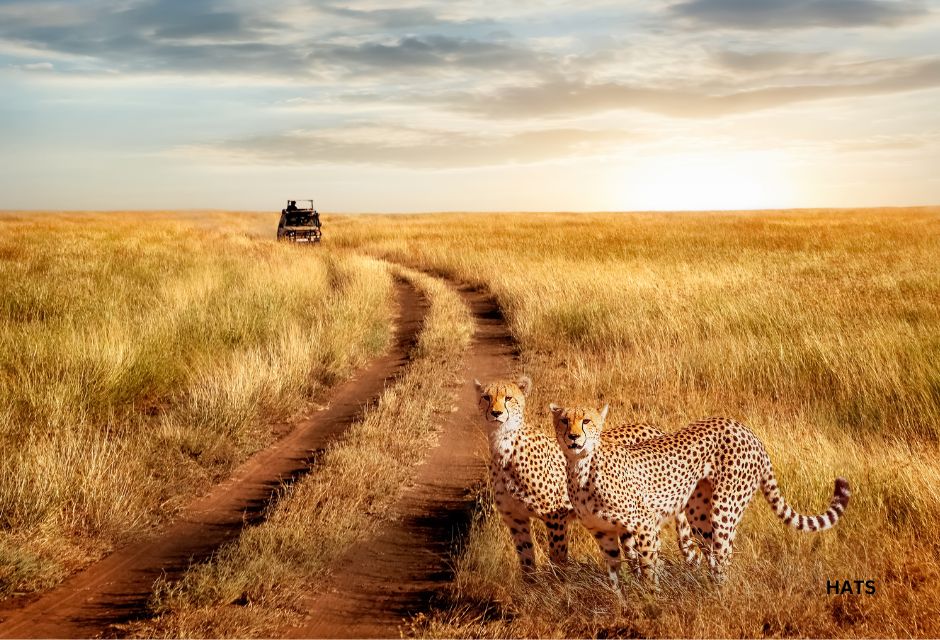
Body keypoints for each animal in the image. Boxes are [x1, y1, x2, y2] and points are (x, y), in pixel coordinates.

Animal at [474, 376, 708, 568]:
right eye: (486, 397)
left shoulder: (555, 516)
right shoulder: (515, 519)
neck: (503, 446)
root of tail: (655, 429)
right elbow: (526, 563)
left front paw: (559, 586)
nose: (496, 413)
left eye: (508, 398)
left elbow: (558, 557)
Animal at [552, 404, 852, 584]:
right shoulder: (603, 533)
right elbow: (616, 577)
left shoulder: (645, 525)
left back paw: (718, 595)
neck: (581, 468)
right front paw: (623, 604)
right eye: (565, 421)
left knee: (724, 553)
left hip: (724, 507)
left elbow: (648, 568)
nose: (574, 437)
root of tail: (746, 430)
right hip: (697, 513)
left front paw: (651, 603)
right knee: (710, 551)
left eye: (586, 421)